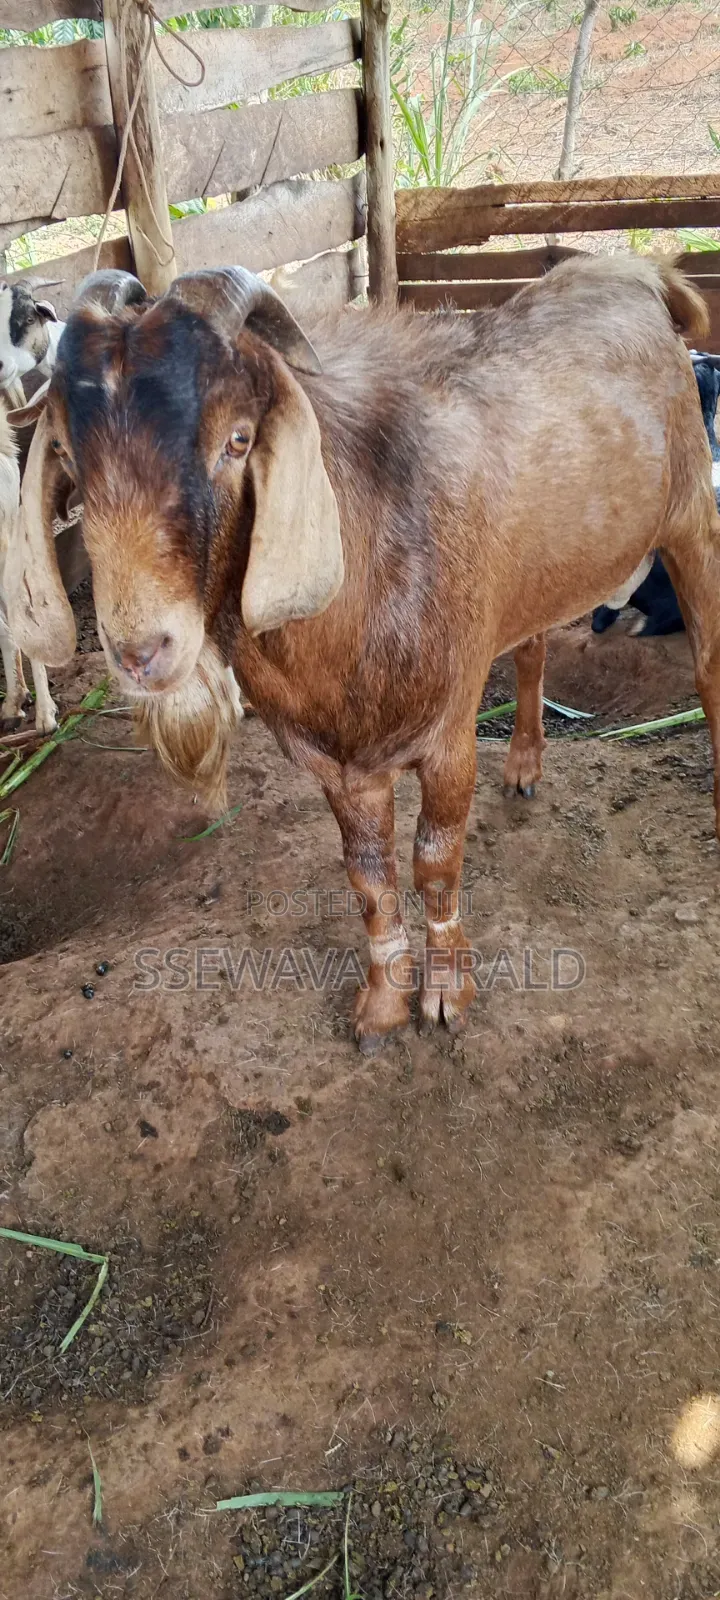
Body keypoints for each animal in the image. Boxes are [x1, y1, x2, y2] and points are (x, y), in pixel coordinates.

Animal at [7, 256, 720, 1052]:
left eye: (237, 441)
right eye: (66, 453)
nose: (141, 651)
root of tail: (636, 270)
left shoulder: (447, 736)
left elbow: (434, 863)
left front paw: (446, 998)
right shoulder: (339, 765)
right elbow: (369, 877)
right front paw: (382, 1006)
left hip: (692, 513)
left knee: (708, 663)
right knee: (533, 644)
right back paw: (525, 765)